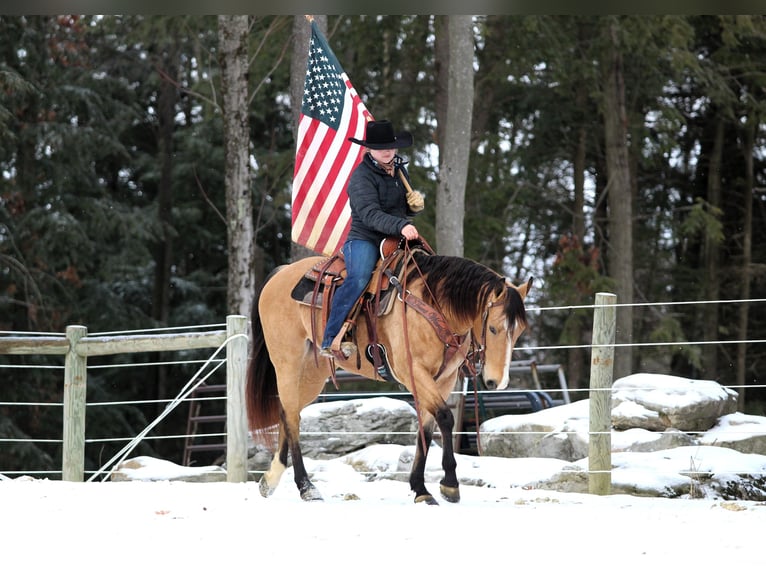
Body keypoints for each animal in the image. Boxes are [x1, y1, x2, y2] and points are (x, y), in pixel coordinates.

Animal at [248, 241, 536, 506]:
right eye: (494, 329)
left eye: (520, 331)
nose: (498, 381)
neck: (435, 304)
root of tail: (281, 273)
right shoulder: (413, 371)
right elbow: (444, 417)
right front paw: (449, 485)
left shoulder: (443, 379)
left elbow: (427, 428)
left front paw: (420, 488)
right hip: (288, 363)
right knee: (291, 416)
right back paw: (306, 487)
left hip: (311, 374)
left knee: (288, 412)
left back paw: (270, 480)